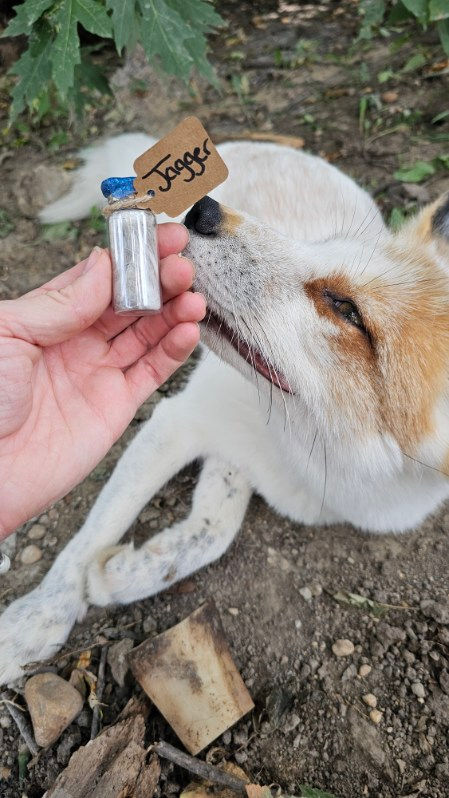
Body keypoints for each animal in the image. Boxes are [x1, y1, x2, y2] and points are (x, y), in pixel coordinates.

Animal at [1, 133, 449, 685]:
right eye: (320, 246)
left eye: (347, 309)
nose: (204, 211)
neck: (291, 451)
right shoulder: (180, 420)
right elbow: (90, 537)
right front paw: (38, 618)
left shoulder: (232, 454)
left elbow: (213, 530)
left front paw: (126, 573)